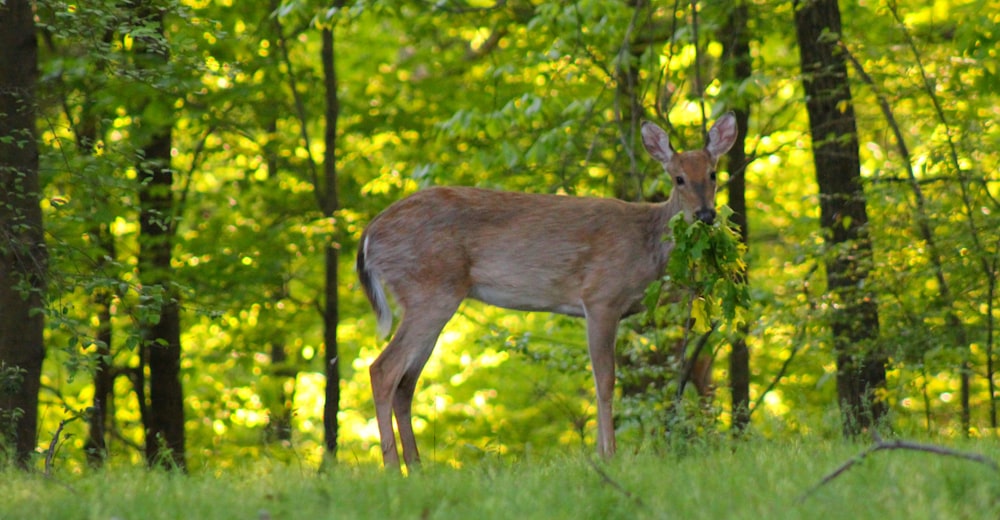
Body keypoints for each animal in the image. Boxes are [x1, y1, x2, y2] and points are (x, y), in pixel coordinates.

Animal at [356, 112, 740, 468]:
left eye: (713, 174)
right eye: (678, 178)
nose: (706, 214)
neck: (647, 243)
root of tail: (370, 235)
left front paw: (600, 453)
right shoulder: (601, 296)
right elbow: (605, 380)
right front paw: (608, 455)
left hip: (430, 298)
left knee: (406, 384)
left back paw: (417, 467)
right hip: (429, 288)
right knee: (383, 370)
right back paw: (392, 467)